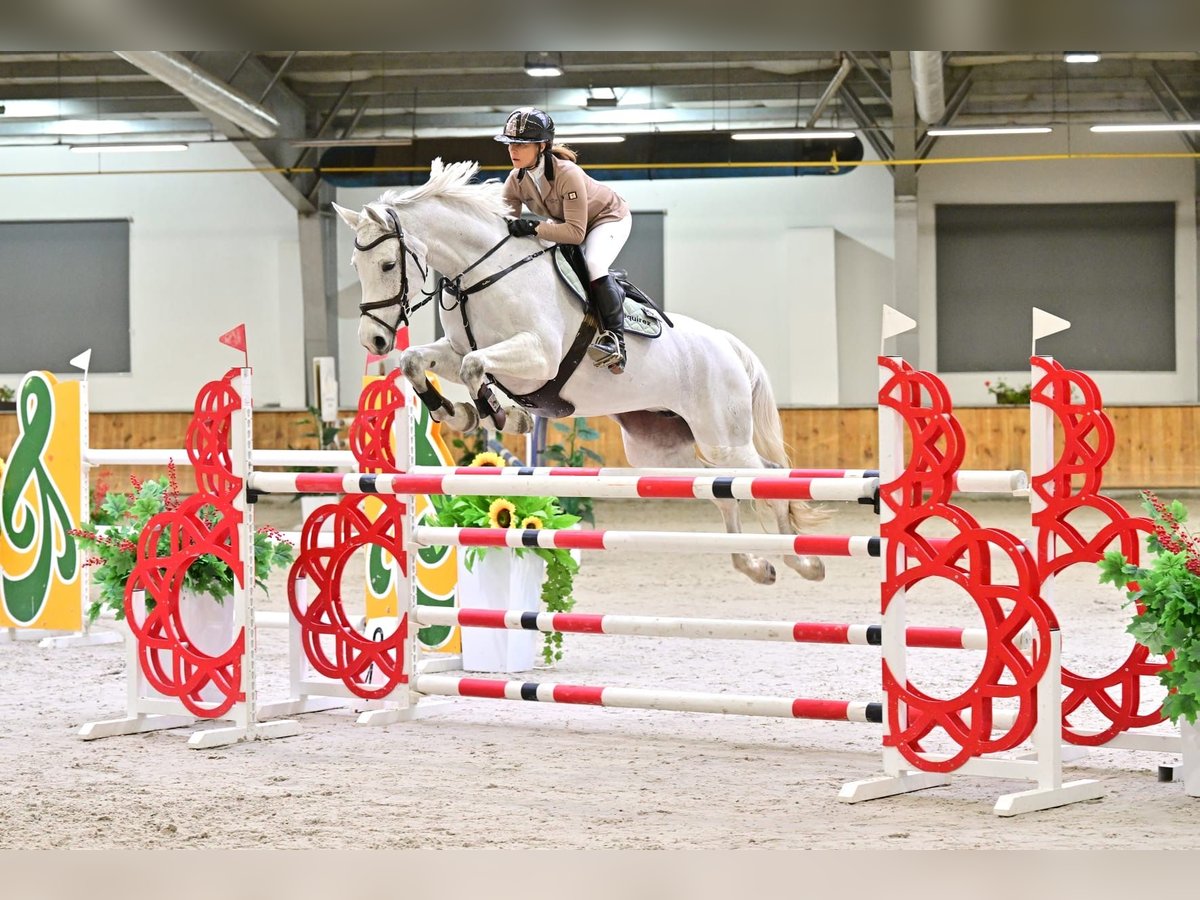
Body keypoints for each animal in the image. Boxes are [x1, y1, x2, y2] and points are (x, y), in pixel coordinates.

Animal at [338, 160, 825, 585]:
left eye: (387, 265)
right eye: (355, 267)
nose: (373, 341)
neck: (484, 273)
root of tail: (727, 343)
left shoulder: (538, 358)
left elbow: (479, 369)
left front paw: (504, 415)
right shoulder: (455, 351)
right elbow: (418, 362)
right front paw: (458, 414)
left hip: (724, 436)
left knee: (764, 476)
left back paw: (805, 562)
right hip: (660, 451)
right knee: (718, 487)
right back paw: (757, 566)